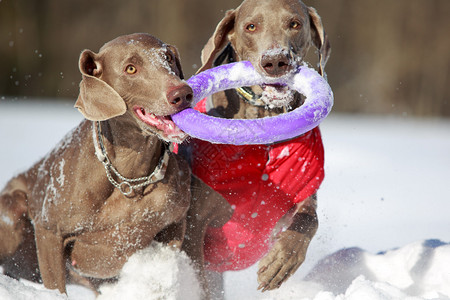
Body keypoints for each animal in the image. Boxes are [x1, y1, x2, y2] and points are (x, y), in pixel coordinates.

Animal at [0, 33, 230, 296]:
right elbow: (56, 286)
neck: (130, 177)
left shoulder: (173, 225)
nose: (182, 94)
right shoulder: (49, 231)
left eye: (168, 58)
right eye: (130, 68)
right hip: (15, 211)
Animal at [186, 0, 330, 292]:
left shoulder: (303, 184)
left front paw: (281, 262)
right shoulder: (197, 222)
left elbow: (309, 219)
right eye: (251, 26)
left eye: (295, 23)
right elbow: (199, 276)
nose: (275, 60)